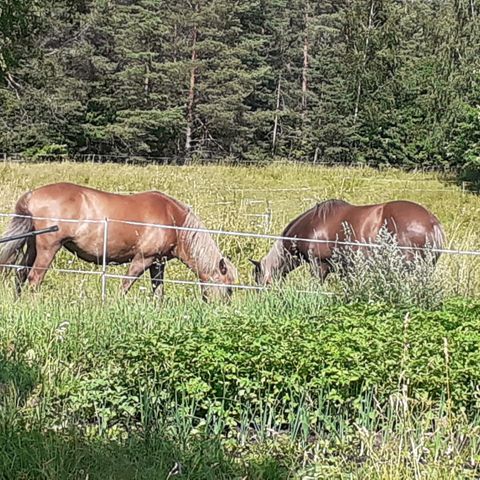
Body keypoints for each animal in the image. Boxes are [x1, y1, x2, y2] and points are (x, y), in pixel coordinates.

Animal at [0, 182, 239, 298]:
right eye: (228, 288)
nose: (224, 309)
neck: (173, 220)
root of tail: (32, 194)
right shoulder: (142, 259)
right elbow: (125, 285)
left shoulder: (157, 263)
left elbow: (158, 292)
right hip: (48, 249)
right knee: (34, 278)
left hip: (32, 246)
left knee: (20, 274)